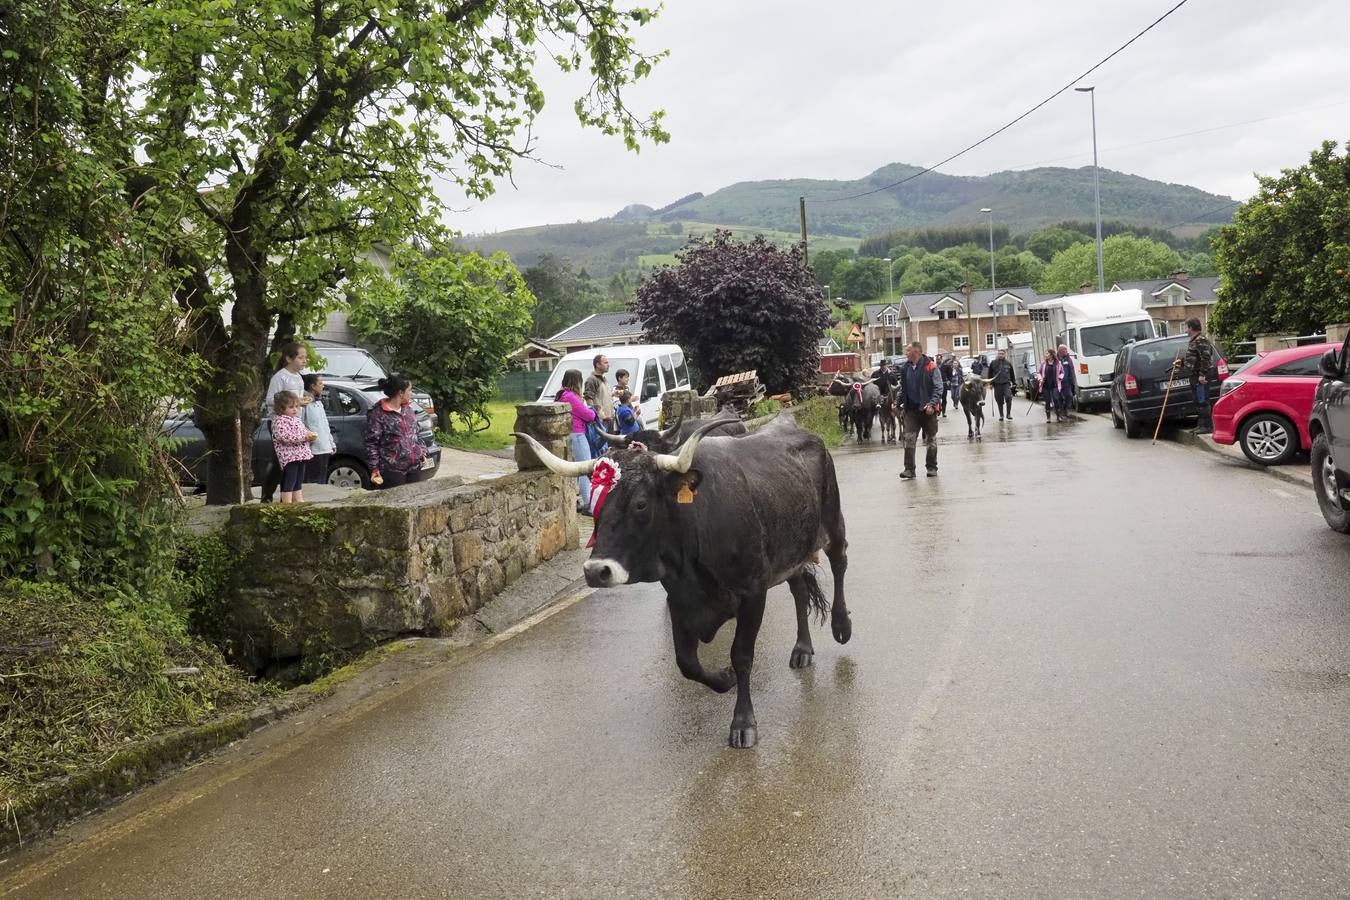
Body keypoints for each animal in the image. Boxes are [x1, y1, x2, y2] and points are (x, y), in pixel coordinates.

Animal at [510, 415, 847, 744]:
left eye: (641, 503)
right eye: (594, 504)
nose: (596, 571)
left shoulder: (753, 591)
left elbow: (741, 655)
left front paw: (743, 723)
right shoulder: (680, 600)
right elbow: (687, 663)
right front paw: (724, 679)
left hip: (833, 524)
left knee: (839, 564)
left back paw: (842, 626)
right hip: (794, 550)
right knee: (800, 590)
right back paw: (802, 649)